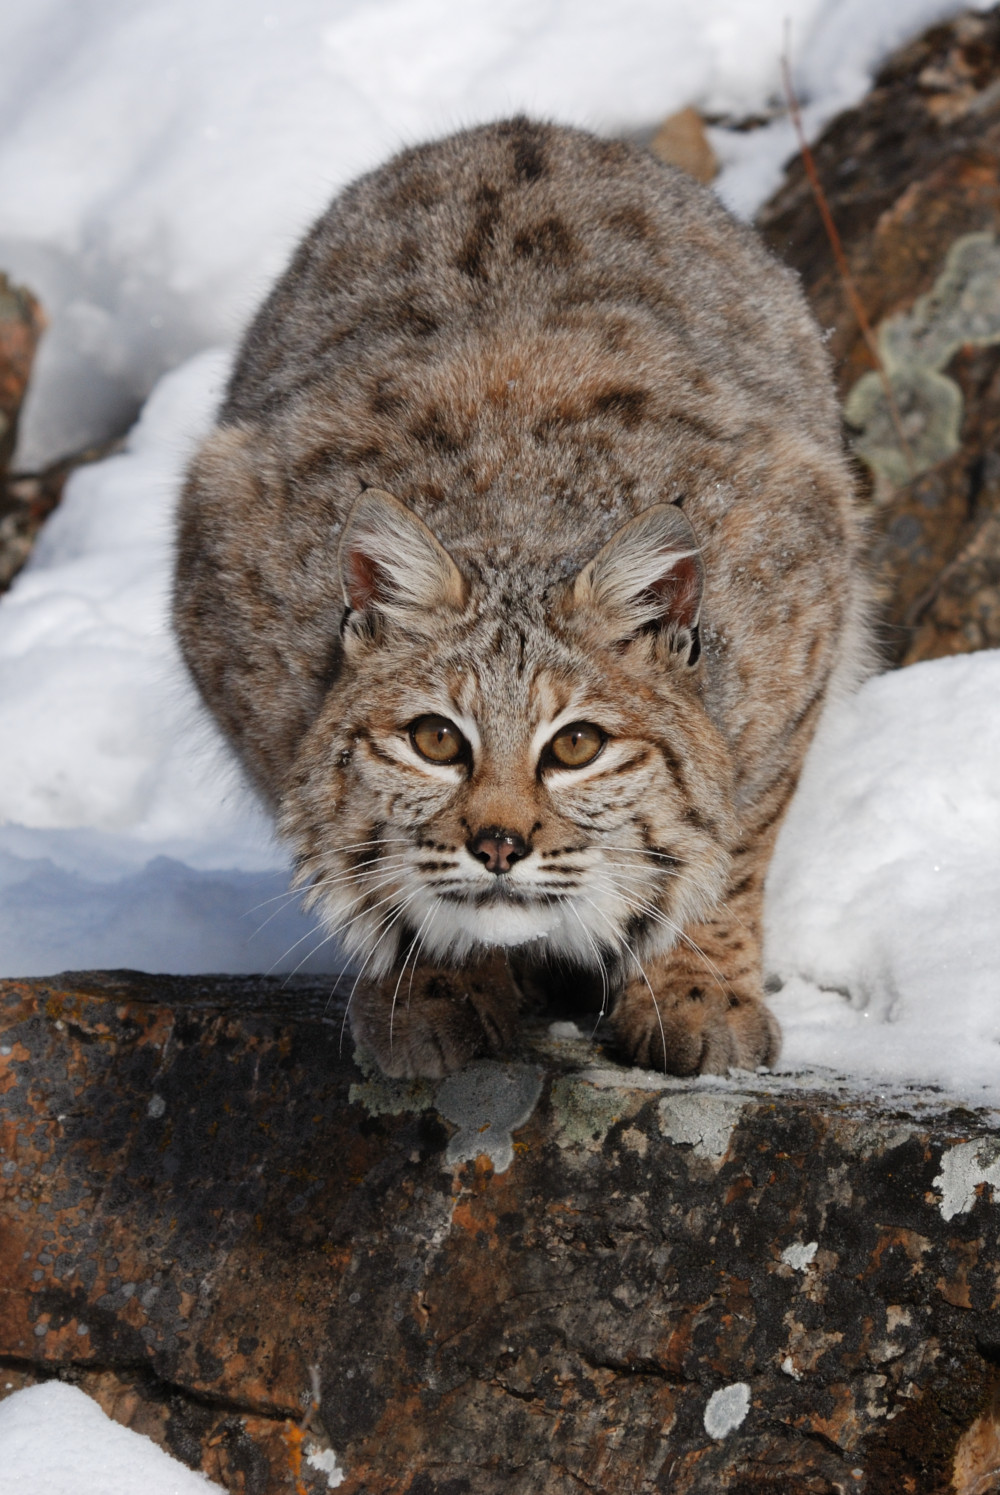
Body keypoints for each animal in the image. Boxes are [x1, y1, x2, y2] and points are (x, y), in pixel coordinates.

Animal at [175, 116, 866, 1076]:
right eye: (435, 739)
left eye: (577, 745)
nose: (498, 845)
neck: (516, 521)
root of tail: (521, 129)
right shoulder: (225, 585)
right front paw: (437, 977)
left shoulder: (808, 581)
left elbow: (735, 837)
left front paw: (697, 987)